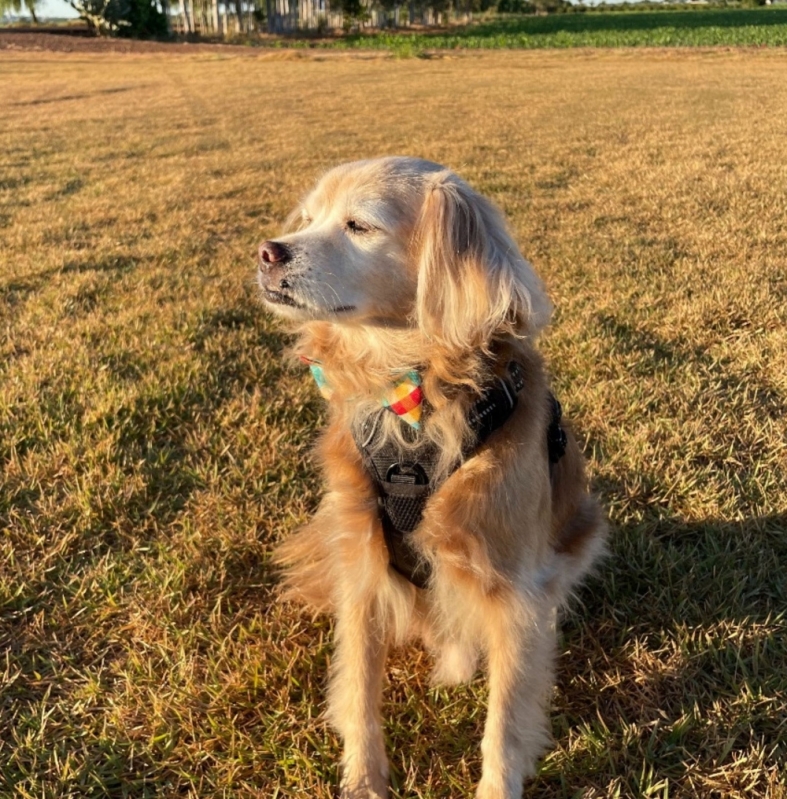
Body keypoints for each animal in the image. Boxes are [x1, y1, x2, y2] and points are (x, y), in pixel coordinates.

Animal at [262, 158, 608, 799]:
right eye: (308, 218)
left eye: (359, 225)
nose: (268, 251)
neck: (412, 402)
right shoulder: (361, 566)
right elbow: (359, 687)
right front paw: (364, 778)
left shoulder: (515, 590)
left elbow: (505, 723)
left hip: (584, 532)